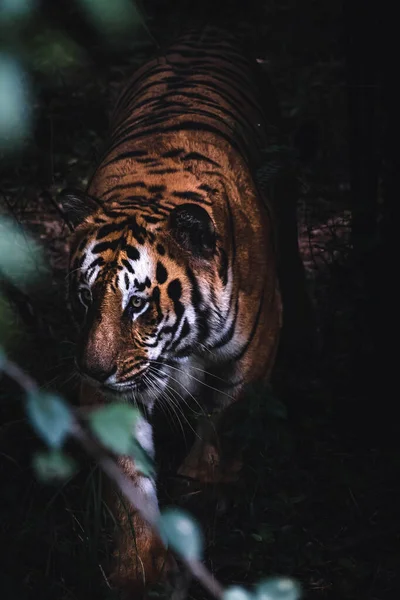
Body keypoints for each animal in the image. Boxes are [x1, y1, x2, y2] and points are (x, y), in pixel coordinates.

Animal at [59, 25, 308, 596]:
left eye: (137, 304)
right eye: (85, 297)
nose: (92, 370)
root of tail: (204, 34)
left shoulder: (255, 349)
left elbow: (223, 426)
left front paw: (202, 495)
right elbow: (129, 484)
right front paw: (140, 571)